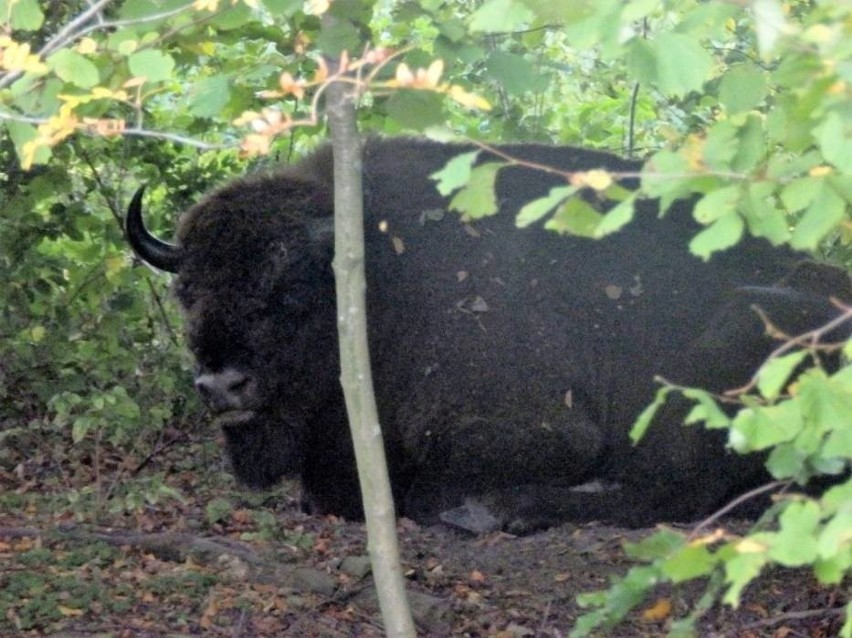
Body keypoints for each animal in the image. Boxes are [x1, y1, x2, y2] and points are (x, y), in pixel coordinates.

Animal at [126, 140, 852, 536]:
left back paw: (512, 509)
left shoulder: (537, 429)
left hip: (740, 337)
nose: (221, 385)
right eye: (187, 291)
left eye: (291, 294)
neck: (382, 279)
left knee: (677, 491)